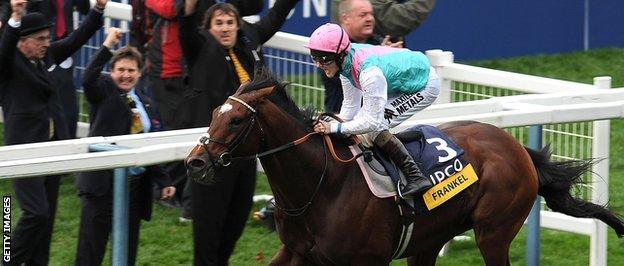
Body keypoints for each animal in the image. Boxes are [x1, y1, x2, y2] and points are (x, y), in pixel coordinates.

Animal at [185, 69, 624, 264]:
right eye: (213, 112)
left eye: (236, 121)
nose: (194, 161)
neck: (320, 188)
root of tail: (516, 147)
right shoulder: (296, 253)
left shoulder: (364, 263)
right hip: (428, 240)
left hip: (494, 231)